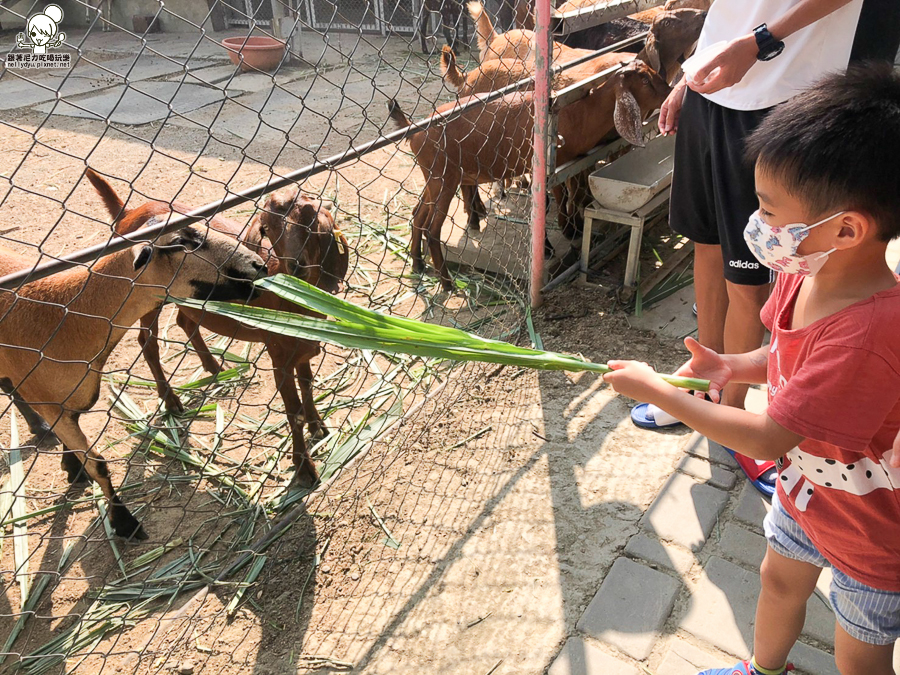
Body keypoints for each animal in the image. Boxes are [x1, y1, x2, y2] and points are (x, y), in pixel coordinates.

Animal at [0, 169, 266, 540]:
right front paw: (125, 522)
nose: (259, 264)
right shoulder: (50, 400)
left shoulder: (71, 398)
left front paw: (72, 467)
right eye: (184, 240)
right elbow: (98, 464)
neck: (67, 314)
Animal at [87, 173, 348, 492]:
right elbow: (293, 411)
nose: (296, 266)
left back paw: (214, 368)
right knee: (147, 341)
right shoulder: (279, 354)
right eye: (266, 228)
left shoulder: (303, 346)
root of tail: (129, 212)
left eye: (312, 218)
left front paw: (319, 426)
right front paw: (305, 469)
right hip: (147, 295)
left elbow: (308, 385)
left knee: (185, 322)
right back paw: (171, 401)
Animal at [390, 58, 672, 288]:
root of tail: (413, 129)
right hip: (443, 178)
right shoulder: (548, 167)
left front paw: (575, 228)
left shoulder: (572, 161)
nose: (670, 92)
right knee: (432, 228)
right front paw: (559, 238)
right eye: (645, 79)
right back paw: (447, 282)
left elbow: (573, 192)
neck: (578, 112)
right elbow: (556, 198)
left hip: (435, 177)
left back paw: (417, 264)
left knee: (417, 214)